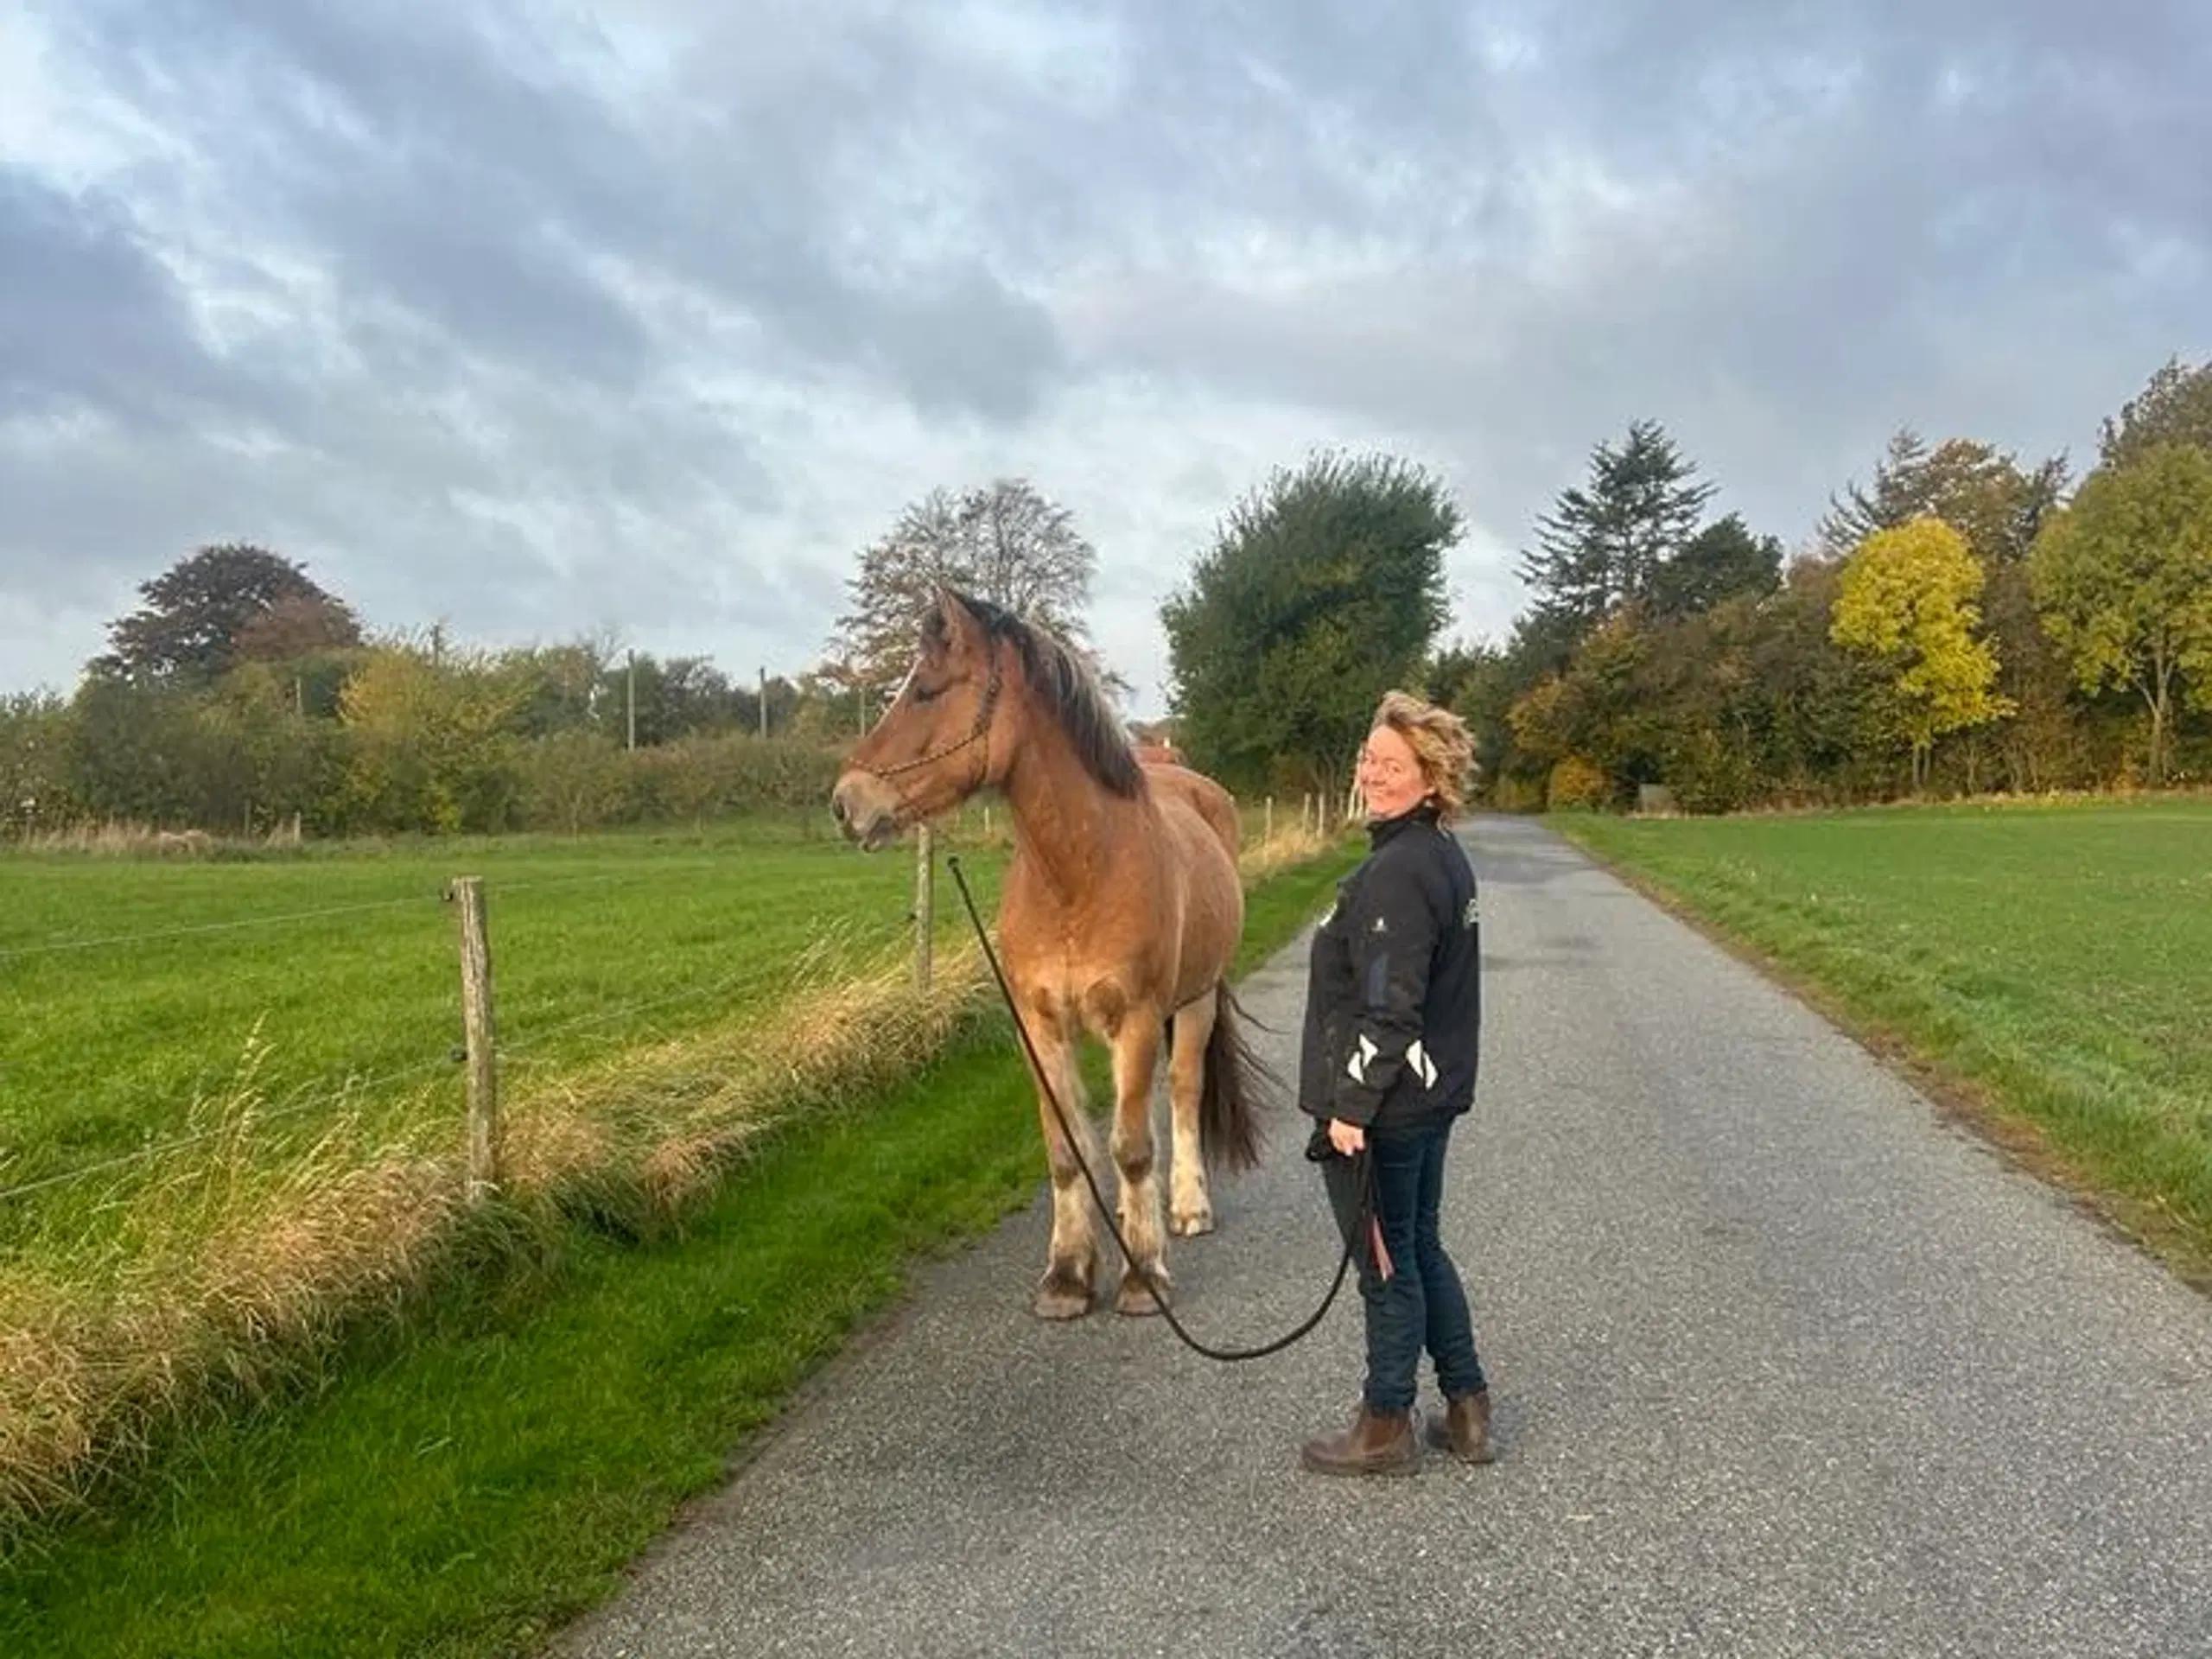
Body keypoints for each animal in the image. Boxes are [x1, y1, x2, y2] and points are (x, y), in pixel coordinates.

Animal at [831, 593, 1274, 1318]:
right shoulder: (1037, 1026)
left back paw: (1187, 1207)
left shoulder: (1139, 1021)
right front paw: (1067, 1276)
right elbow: (1069, 1151)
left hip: (1197, 1000)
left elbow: (1131, 1148)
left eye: (926, 691)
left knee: (1182, 1093)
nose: (846, 804)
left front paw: (1143, 1275)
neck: (1078, 875)